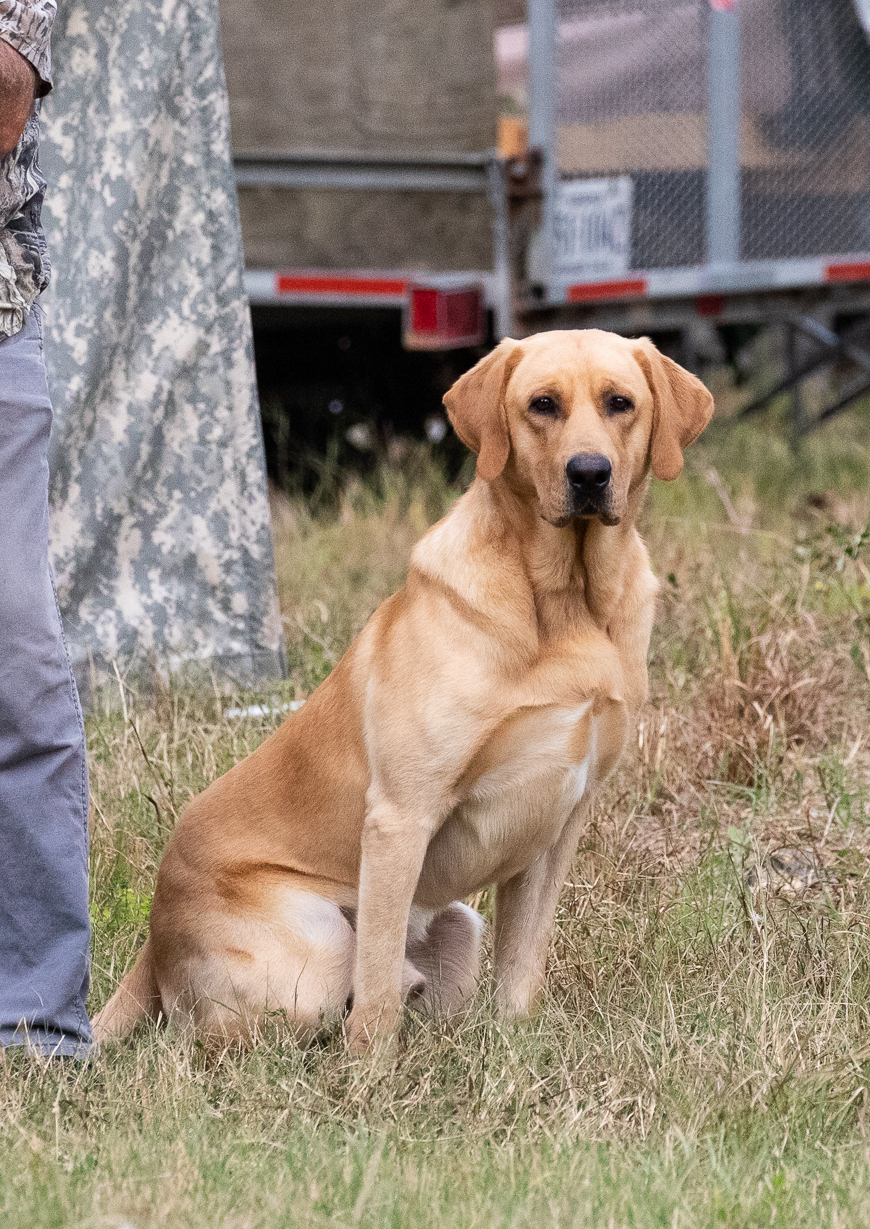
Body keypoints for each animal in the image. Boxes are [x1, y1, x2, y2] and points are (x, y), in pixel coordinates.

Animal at [93, 331, 712, 1052]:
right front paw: (370, 1075)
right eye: (542, 404)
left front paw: (514, 1046)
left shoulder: (560, 823)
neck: (569, 602)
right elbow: (377, 991)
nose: (590, 473)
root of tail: (154, 935)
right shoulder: (400, 817)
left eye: (621, 403)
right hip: (317, 952)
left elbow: (522, 964)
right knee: (212, 1036)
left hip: (460, 929)